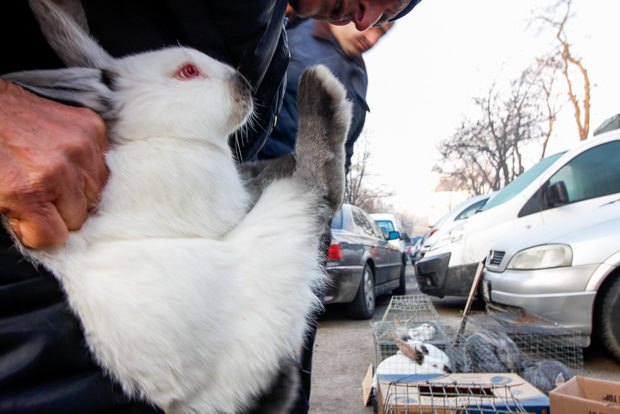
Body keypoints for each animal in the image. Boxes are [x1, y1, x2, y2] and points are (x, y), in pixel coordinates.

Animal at [0, 0, 352, 414]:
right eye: (187, 72)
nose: (244, 84)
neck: (155, 134)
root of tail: (199, 402)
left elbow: (258, 170)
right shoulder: (230, 203)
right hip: (278, 227)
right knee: (320, 188)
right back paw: (321, 88)